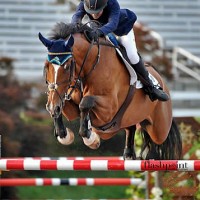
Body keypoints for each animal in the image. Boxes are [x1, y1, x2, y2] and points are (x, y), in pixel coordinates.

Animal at [38, 22, 182, 159]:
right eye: (46, 66)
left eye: (67, 67)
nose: (51, 106)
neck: (90, 65)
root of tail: (162, 80)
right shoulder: (70, 105)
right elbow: (64, 107)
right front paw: (64, 133)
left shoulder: (108, 110)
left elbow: (85, 103)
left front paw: (91, 138)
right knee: (131, 127)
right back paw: (129, 154)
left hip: (159, 130)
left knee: (158, 139)